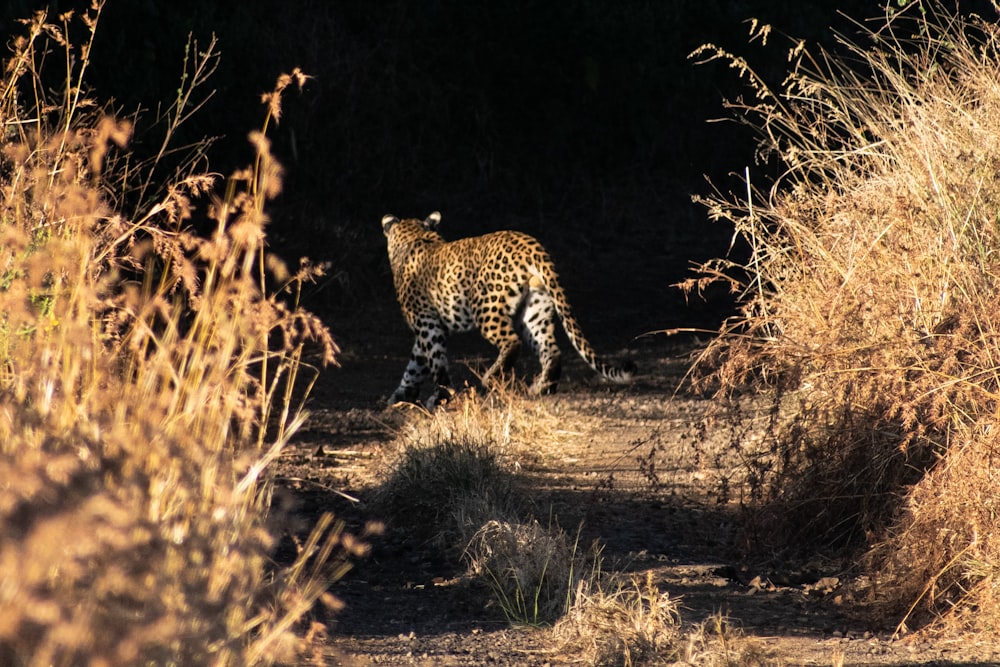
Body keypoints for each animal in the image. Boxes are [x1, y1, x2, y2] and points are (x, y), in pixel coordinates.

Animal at [380, 211, 632, 408]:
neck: (415, 236)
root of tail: (532, 245)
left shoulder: (427, 323)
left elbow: (434, 361)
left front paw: (440, 396)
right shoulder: (430, 324)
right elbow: (415, 364)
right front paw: (401, 395)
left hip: (486, 305)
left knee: (512, 341)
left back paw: (491, 378)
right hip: (535, 308)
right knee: (551, 349)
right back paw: (542, 387)